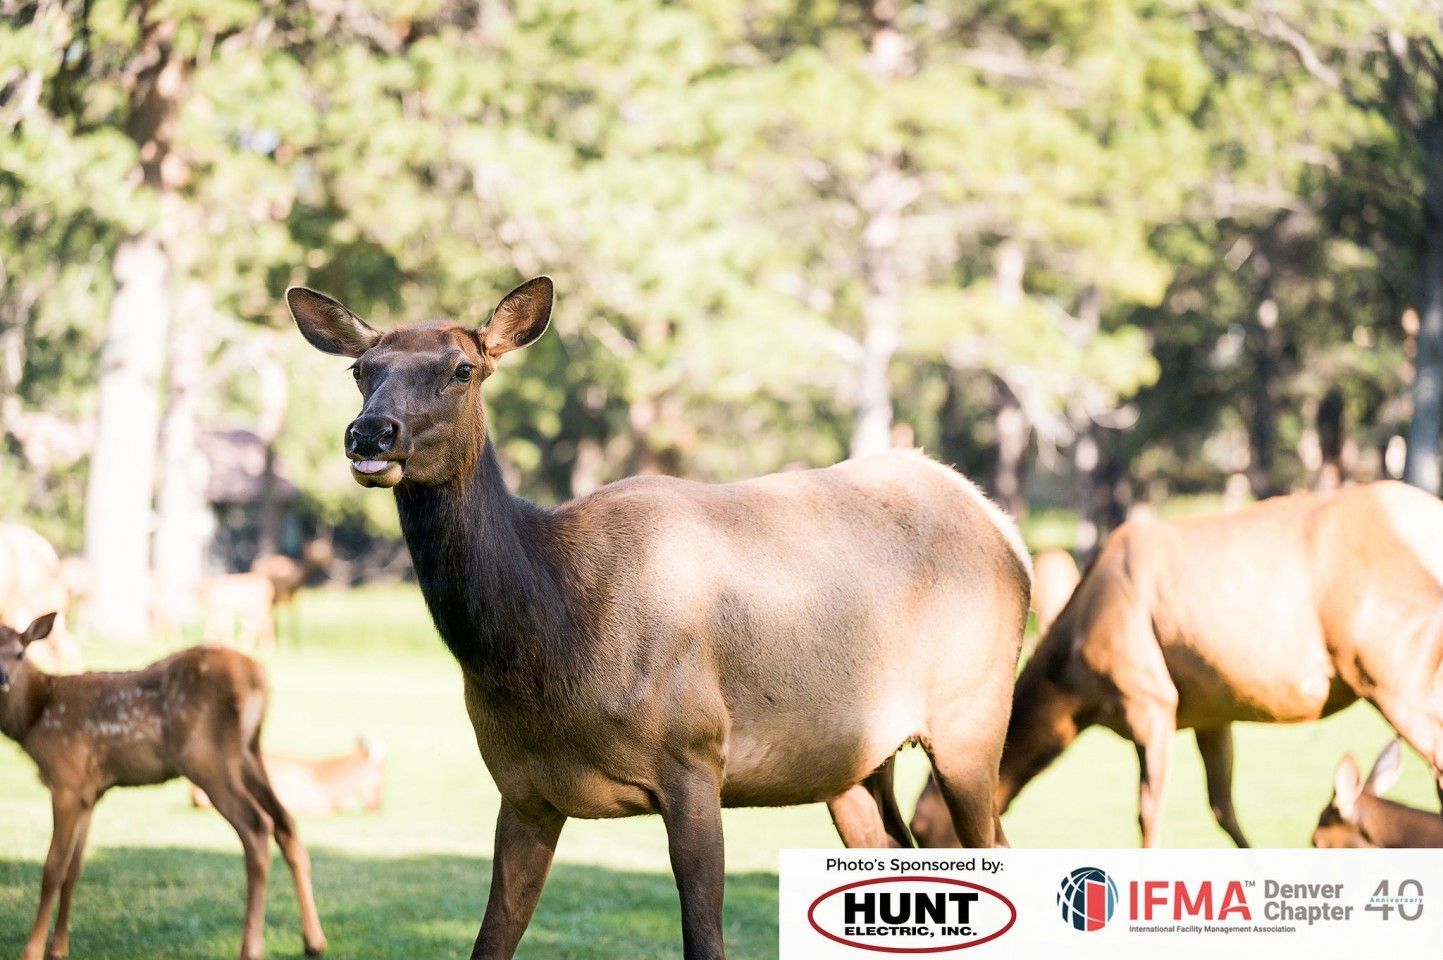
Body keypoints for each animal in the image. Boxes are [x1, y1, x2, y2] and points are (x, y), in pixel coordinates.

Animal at [0, 613, 327, 960]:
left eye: (20, 653)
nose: (3, 678)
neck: (36, 717)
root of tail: (259, 678)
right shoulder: (90, 792)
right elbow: (74, 868)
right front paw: (58, 948)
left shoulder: (67, 779)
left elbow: (53, 868)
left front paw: (33, 951)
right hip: (250, 752)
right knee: (285, 821)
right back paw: (313, 941)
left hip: (206, 757)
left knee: (256, 825)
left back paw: (251, 947)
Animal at [287, 276, 1031, 959]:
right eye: (361, 370)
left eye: (462, 368)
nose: (369, 433)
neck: (553, 646)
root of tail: (1006, 531)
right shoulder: (522, 790)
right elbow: (490, 941)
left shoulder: (695, 757)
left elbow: (704, 939)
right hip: (852, 764)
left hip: (972, 716)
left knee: (997, 842)